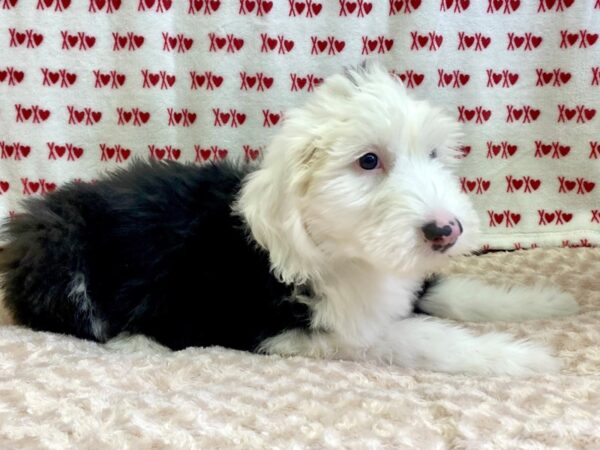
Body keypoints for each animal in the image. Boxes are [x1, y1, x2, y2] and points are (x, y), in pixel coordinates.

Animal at [1, 62, 580, 372]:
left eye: (436, 154)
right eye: (368, 161)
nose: (447, 230)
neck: (342, 254)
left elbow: (452, 292)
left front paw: (544, 302)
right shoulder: (296, 331)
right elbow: (412, 337)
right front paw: (519, 357)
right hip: (59, 250)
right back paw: (136, 338)